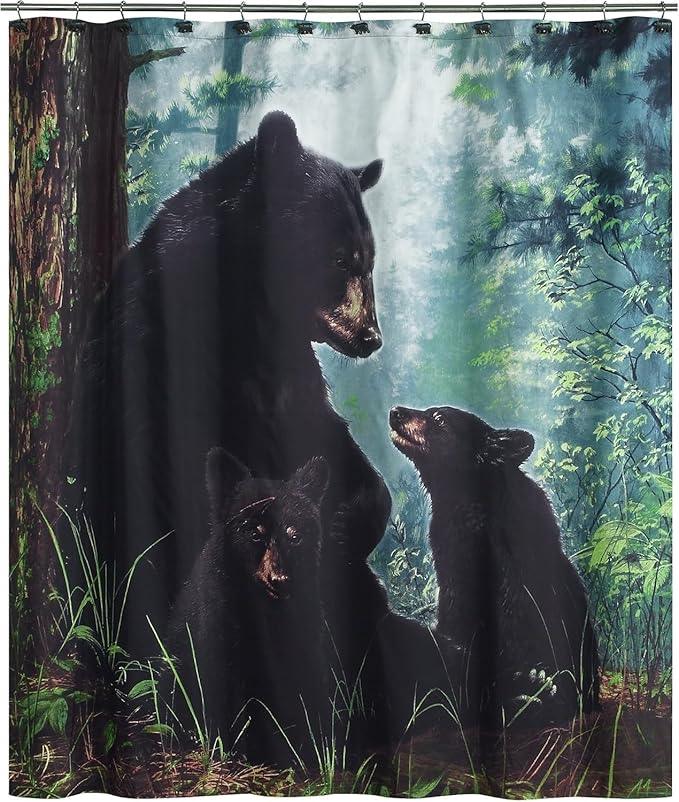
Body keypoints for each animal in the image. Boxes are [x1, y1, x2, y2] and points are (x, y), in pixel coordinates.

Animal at [68, 110, 394, 673]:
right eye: (338, 258)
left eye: (369, 260)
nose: (370, 337)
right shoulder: (158, 355)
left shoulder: (291, 377)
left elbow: (346, 465)